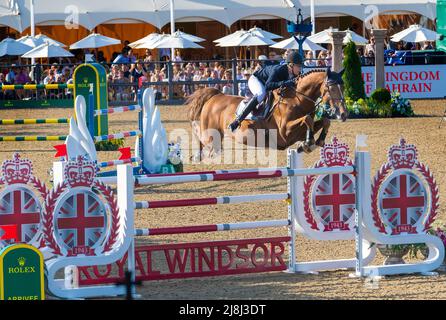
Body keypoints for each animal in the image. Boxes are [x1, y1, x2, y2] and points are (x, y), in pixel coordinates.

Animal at [186, 68, 346, 158]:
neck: (297, 99)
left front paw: (313, 142)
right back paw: (197, 153)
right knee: (200, 135)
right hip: (210, 134)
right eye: (332, 88)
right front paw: (308, 143)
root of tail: (215, 96)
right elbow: (307, 119)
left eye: (342, 87)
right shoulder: (285, 133)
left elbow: (323, 121)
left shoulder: (296, 134)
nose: (343, 114)